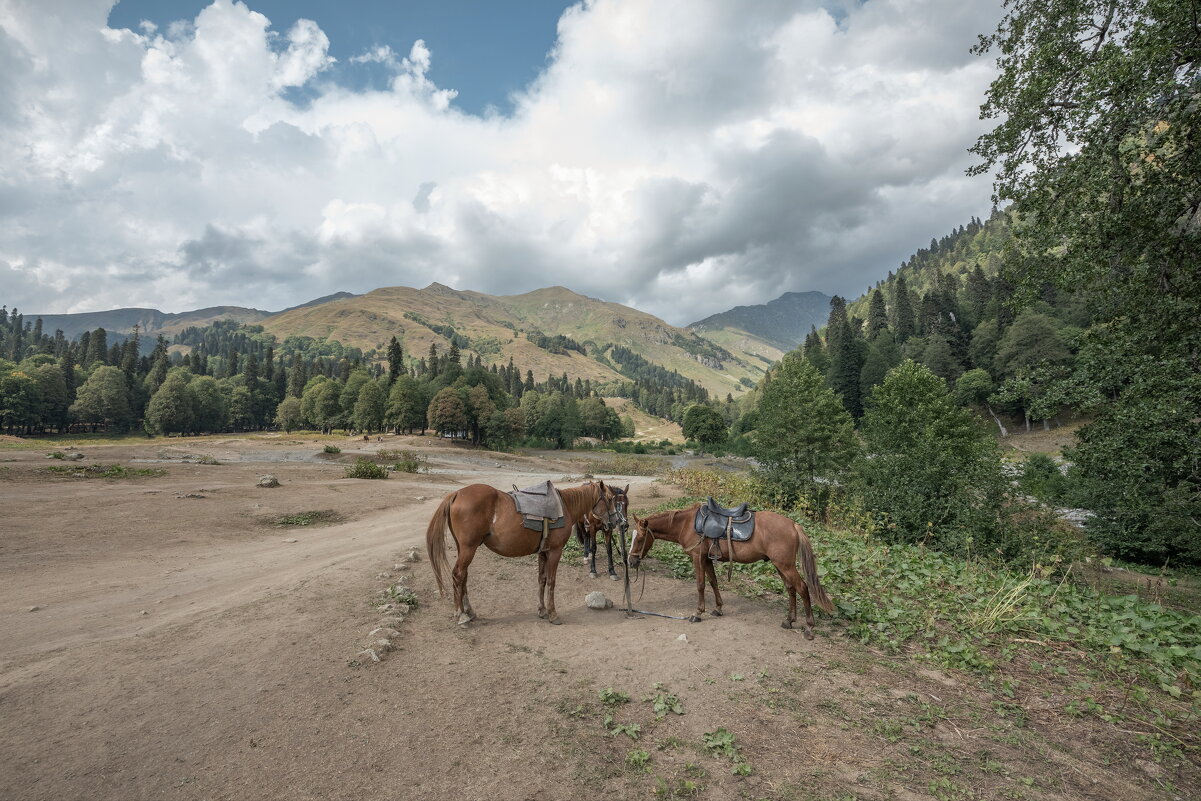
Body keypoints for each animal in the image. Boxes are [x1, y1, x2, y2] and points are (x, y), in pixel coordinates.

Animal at [427, 482, 614, 624]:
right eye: (610, 498)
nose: (615, 521)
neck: (565, 507)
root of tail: (457, 494)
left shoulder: (543, 552)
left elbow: (542, 579)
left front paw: (542, 610)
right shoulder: (555, 552)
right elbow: (552, 582)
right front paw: (553, 614)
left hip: (464, 548)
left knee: (463, 576)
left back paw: (469, 611)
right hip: (468, 549)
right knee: (458, 575)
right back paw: (460, 615)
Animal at [629, 506, 835, 638]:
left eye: (639, 539)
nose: (631, 561)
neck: (686, 524)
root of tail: (793, 524)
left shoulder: (697, 558)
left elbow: (700, 585)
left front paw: (698, 613)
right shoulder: (707, 559)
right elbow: (713, 582)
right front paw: (718, 608)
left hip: (785, 565)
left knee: (803, 588)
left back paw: (809, 627)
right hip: (780, 565)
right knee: (791, 589)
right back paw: (789, 621)